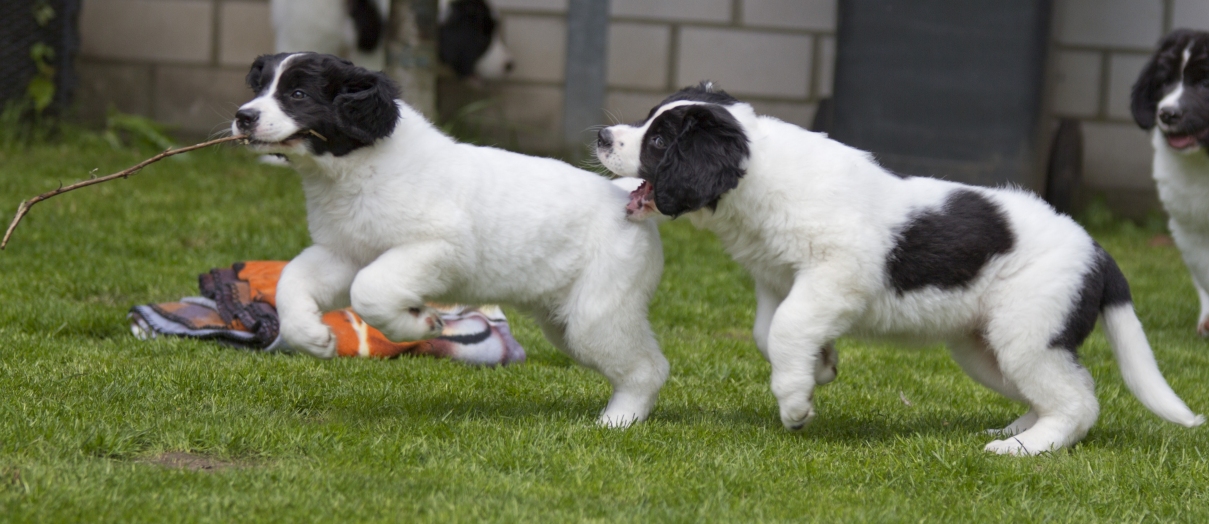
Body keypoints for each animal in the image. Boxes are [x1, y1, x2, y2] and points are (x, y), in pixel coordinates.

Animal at [233, 53, 672, 425]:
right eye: (260, 88)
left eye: (298, 95)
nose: (243, 117)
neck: (358, 168)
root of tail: (622, 195)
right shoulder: (346, 253)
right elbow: (293, 280)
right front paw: (313, 337)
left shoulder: (438, 247)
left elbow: (369, 290)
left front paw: (422, 324)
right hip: (562, 322)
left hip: (596, 314)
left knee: (649, 368)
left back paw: (618, 421)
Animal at [594, 81, 1199, 452]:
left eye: (659, 140)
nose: (602, 136)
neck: (755, 176)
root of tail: (1099, 251)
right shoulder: (779, 278)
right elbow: (771, 330)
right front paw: (819, 368)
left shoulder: (838, 271)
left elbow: (787, 328)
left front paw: (795, 404)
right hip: (984, 348)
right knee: (1054, 391)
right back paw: (1016, 427)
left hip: (1028, 331)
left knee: (1079, 401)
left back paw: (1024, 448)